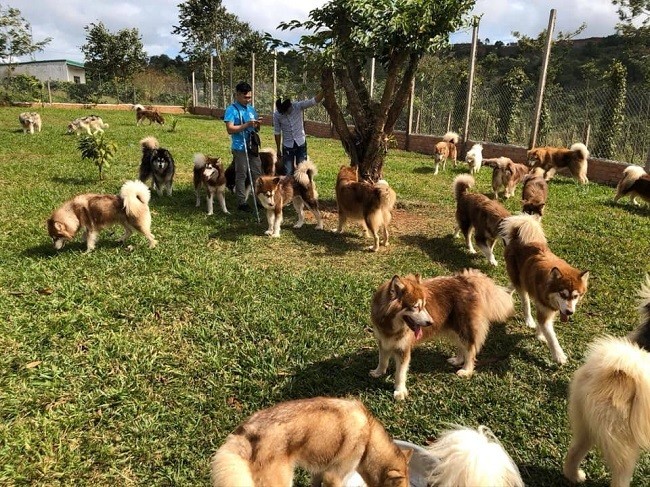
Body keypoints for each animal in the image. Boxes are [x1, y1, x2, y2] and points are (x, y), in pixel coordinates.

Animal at [370, 270, 512, 400]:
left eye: (424, 305)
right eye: (415, 307)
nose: (430, 322)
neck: (390, 325)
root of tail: (466, 279)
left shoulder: (403, 349)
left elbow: (400, 373)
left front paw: (399, 391)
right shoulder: (383, 341)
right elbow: (382, 359)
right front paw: (378, 372)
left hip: (463, 328)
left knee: (470, 349)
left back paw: (466, 370)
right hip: (453, 330)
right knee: (461, 346)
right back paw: (458, 360)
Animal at [560, 276, 648, 486]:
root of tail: (616, 370)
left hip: (586, 427)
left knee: (573, 453)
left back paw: (575, 476)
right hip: (623, 445)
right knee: (619, 477)